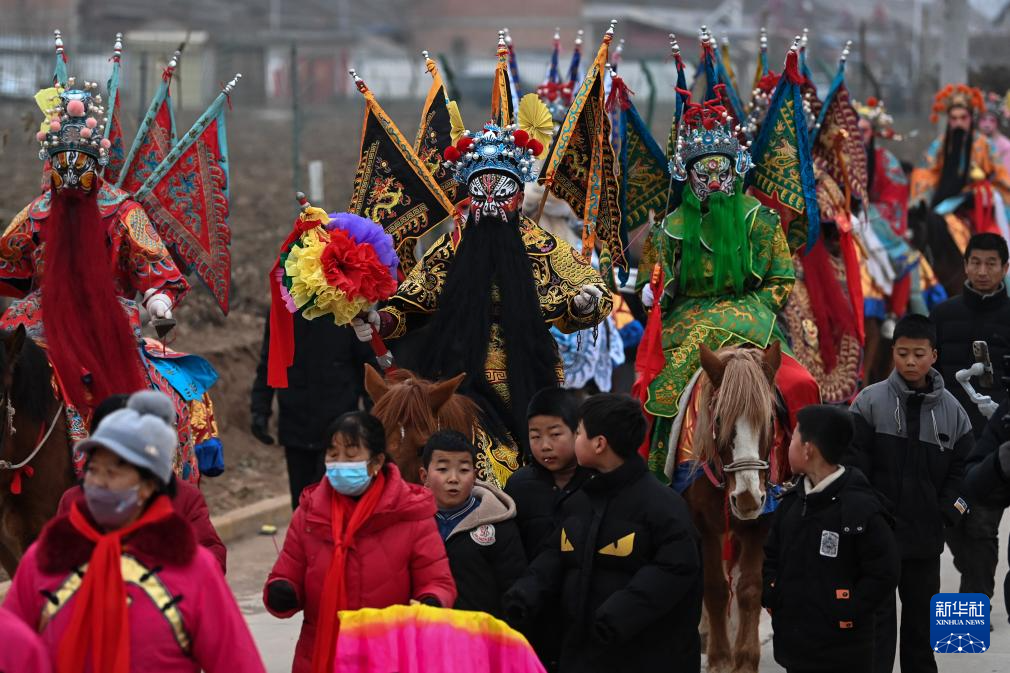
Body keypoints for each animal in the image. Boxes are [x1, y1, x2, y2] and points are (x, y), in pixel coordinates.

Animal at [674, 343, 783, 670]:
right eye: (719, 419)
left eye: (769, 420)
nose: (747, 497)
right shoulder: (703, 523)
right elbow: (715, 587)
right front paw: (720, 657)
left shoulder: (762, 522)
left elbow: (749, 588)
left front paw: (745, 658)